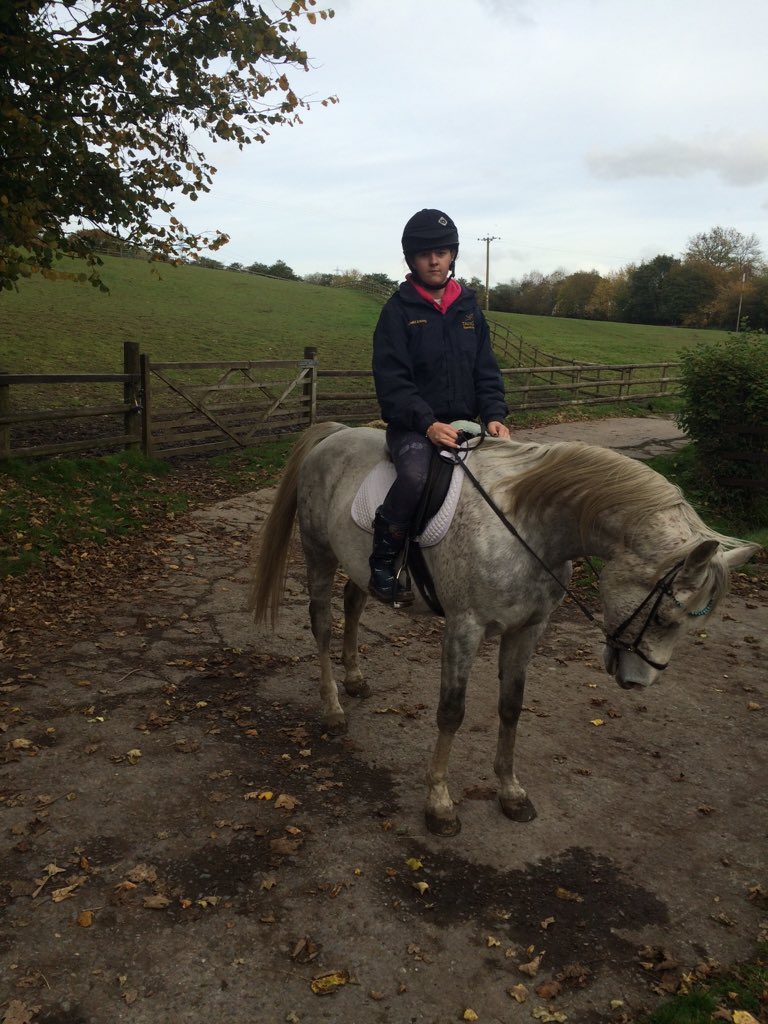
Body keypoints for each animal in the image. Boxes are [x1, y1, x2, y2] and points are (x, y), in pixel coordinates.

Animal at [248, 422, 759, 836]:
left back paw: (354, 679)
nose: (638, 681)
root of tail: (334, 434)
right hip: (318, 553)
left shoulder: (528, 629)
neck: (529, 528)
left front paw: (511, 793)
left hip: (356, 563)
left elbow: (511, 707)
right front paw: (439, 804)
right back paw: (333, 707)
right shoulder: (464, 628)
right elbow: (451, 712)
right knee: (321, 626)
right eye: (664, 616)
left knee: (354, 607)